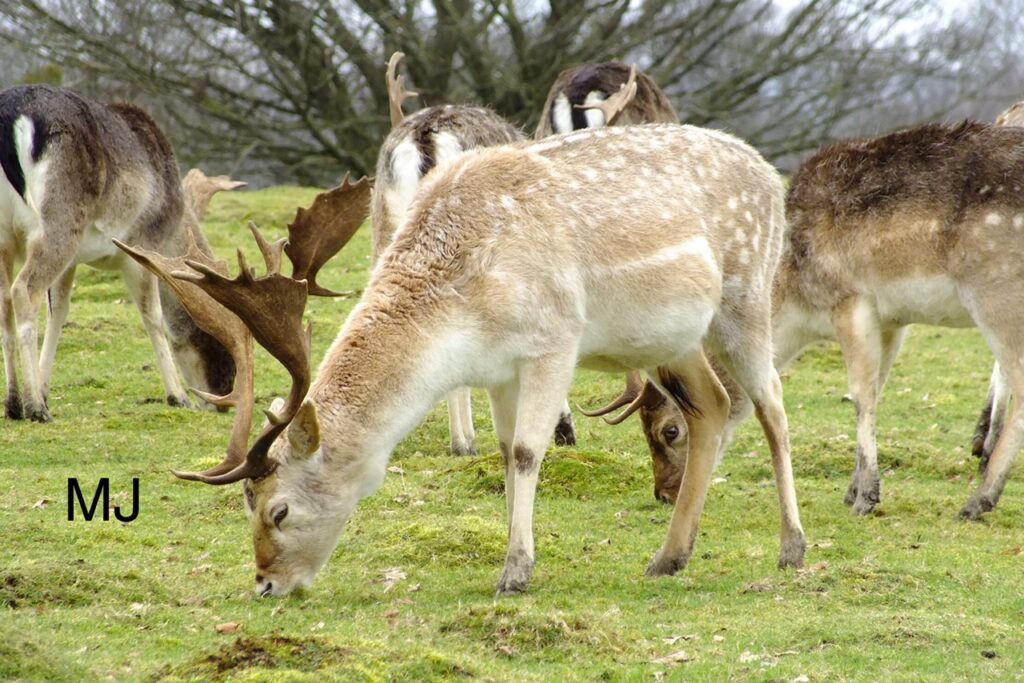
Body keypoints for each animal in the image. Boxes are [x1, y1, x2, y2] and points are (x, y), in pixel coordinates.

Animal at [0, 84, 240, 422]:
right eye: (218, 339)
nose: (222, 401)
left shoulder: (73, 262)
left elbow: (58, 312)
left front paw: (46, 392)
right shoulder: (143, 245)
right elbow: (152, 315)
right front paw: (178, 397)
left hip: (7, 237)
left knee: (5, 301)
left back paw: (13, 405)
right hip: (58, 223)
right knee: (24, 290)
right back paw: (35, 409)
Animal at [143, 123, 806, 597]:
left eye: (278, 510)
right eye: (246, 507)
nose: (264, 584)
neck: (465, 307)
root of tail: (772, 177)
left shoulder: (554, 338)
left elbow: (529, 450)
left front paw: (515, 572)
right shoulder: (499, 368)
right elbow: (505, 451)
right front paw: (516, 556)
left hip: (747, 298)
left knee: (772, 406)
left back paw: (792, 548)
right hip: (674, 341)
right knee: (712, 406)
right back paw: (669, 557)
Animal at [593, 120, 1024, 520]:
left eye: (670, 430)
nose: (665, 493)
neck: (796, 305)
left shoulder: (848, 298)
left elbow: (861, 395)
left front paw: (866, 497)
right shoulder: (893, 320)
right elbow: (878, 389)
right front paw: (853, 489)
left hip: (995, 290)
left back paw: (979, 499)